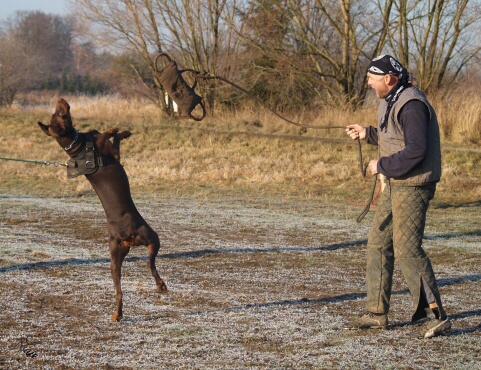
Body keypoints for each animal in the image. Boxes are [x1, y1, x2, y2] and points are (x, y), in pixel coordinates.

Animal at [38, 97, 168, 320]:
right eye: (61, 113)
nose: (60, 99)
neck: (75, 145)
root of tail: (127, 236)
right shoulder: (114, 153)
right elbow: (112, 137)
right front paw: (120, 130)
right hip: (152, 237)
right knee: (150, 264)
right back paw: (160, 285)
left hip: (114, 257)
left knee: (120, 291)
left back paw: (118, 314)